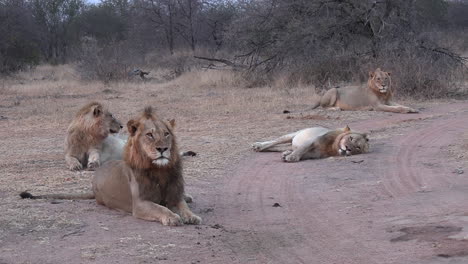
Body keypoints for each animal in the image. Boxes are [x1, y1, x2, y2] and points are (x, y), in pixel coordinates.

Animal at [21, 106, 200, 226]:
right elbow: (160, 209)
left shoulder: (174, 195)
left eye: (166, 134)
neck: (159, 169)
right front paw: (172, 217)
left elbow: (182, 206)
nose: (162, 149)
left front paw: (191, 216)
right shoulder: (140, 204)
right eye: (149, 135)